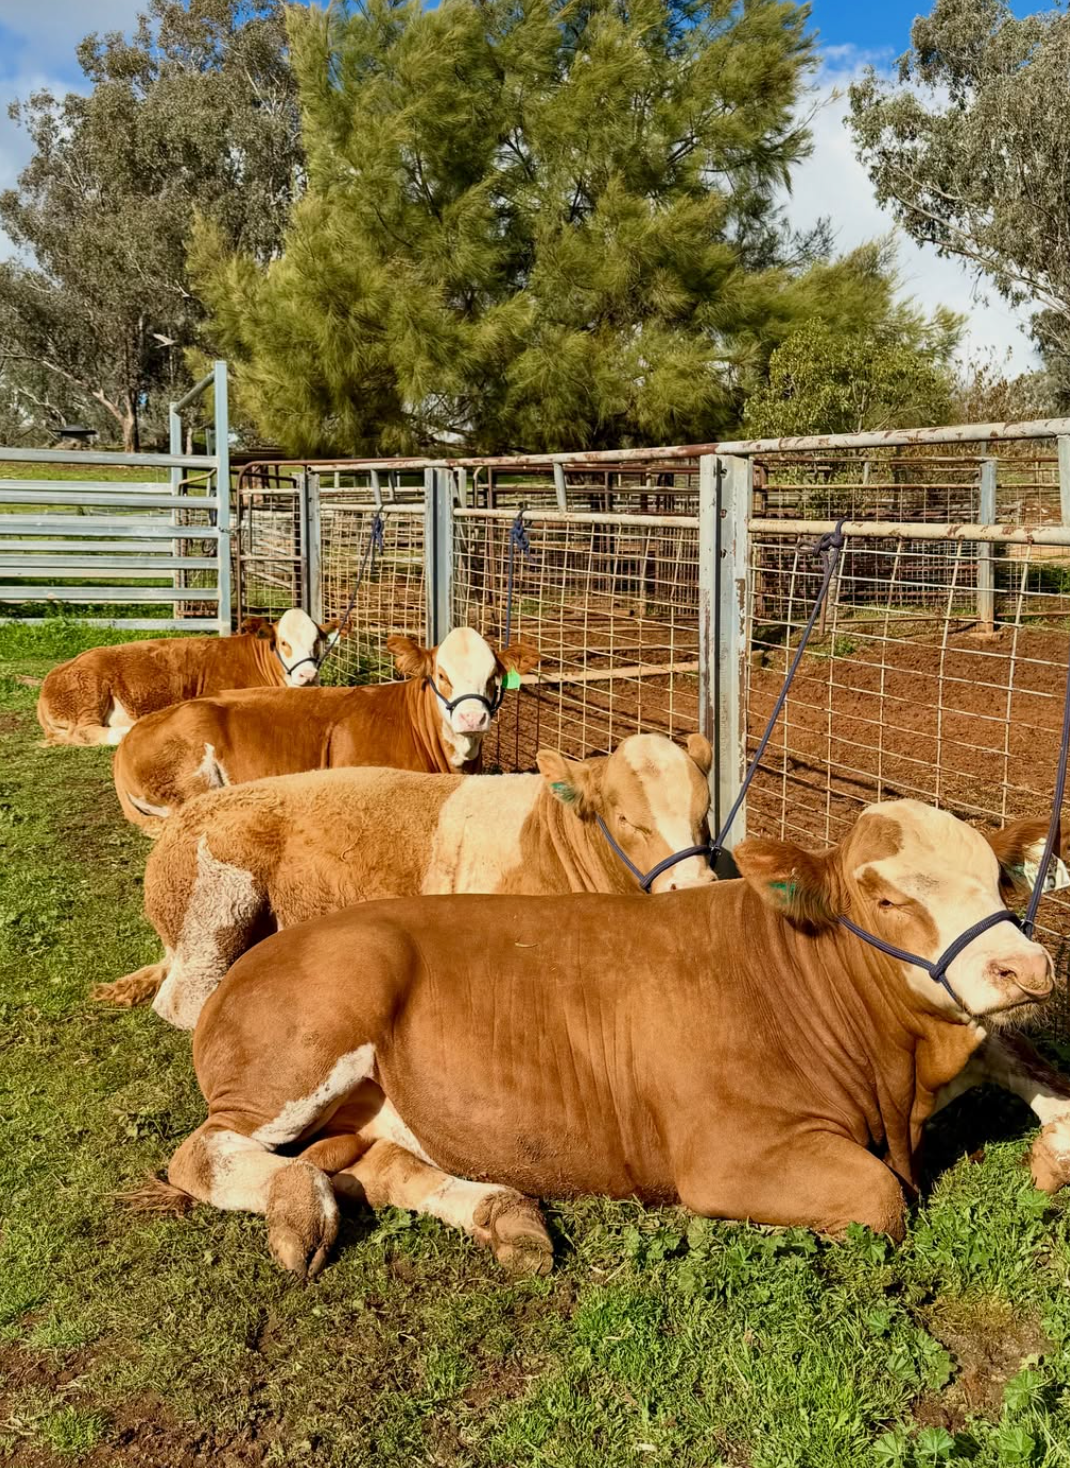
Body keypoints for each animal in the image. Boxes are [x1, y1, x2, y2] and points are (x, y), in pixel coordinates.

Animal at [93, 731, 716, 1025]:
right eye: (626, 818)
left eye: (704, 810)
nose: (696, 888)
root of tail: (180, 819)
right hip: (217, 902)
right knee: (183, 1000)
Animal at [144, 799, 1070, 1280]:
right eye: (884, 898)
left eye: (998, 882)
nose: (1026, 965)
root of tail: (252, 960)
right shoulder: (726, 1154)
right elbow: (882, 1202)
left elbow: (1036, 1064)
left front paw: (1052, 1155)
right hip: (311, 1033)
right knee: (203, 1153)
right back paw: (298, 1205)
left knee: (375, 1161)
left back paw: (502, 1216)